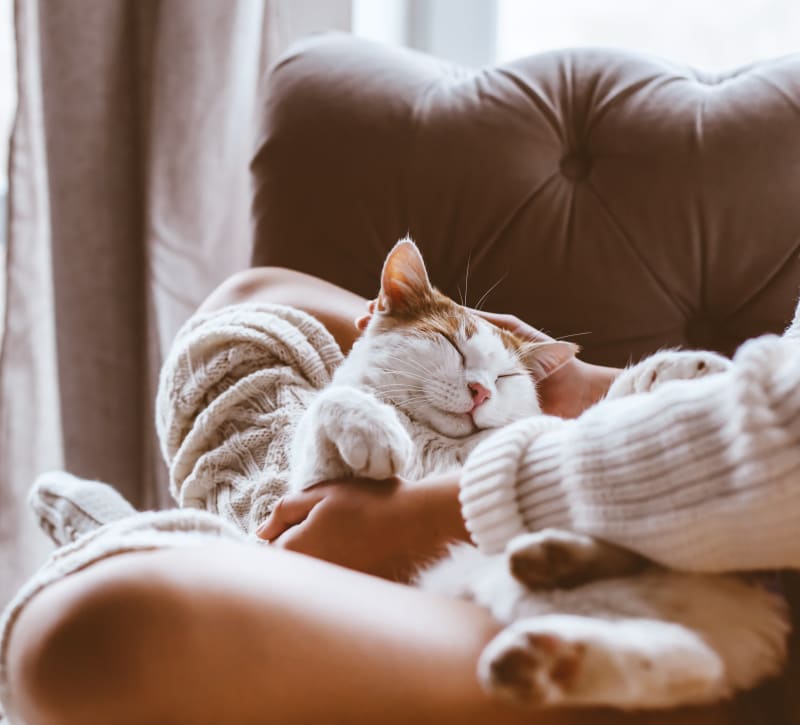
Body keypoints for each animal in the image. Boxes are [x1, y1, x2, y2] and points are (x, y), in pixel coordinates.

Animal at [288, 236, 788, 708]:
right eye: (453, 346)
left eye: (506, 378)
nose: (480, 391)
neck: (435, 441)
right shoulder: (310, 484)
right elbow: (331, 403)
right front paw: (370, 427)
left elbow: (585, 421)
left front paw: (675, 366)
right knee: (694, 661)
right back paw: (551, 642)